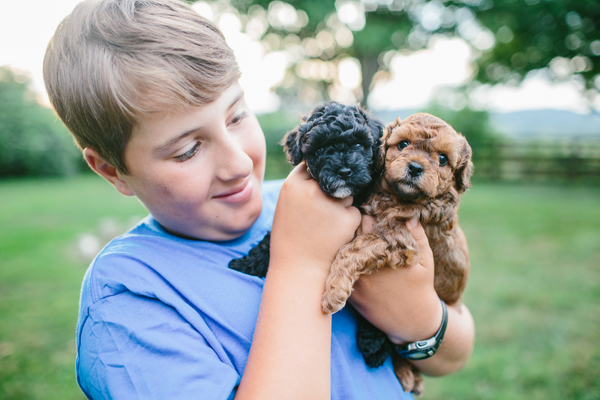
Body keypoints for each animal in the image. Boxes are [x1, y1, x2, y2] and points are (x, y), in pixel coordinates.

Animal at [227, 101, 392, 370]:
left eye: (359, 145)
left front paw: (374, 340)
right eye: (321, 149)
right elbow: (267, 242)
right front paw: (247, 263)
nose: (344, 171)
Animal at [324, 112, 474, 394]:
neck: (397, 197)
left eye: (442, 159)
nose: (415, 168)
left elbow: (354, 249)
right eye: (403, 144)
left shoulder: (399, 241)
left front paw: (333, 290)